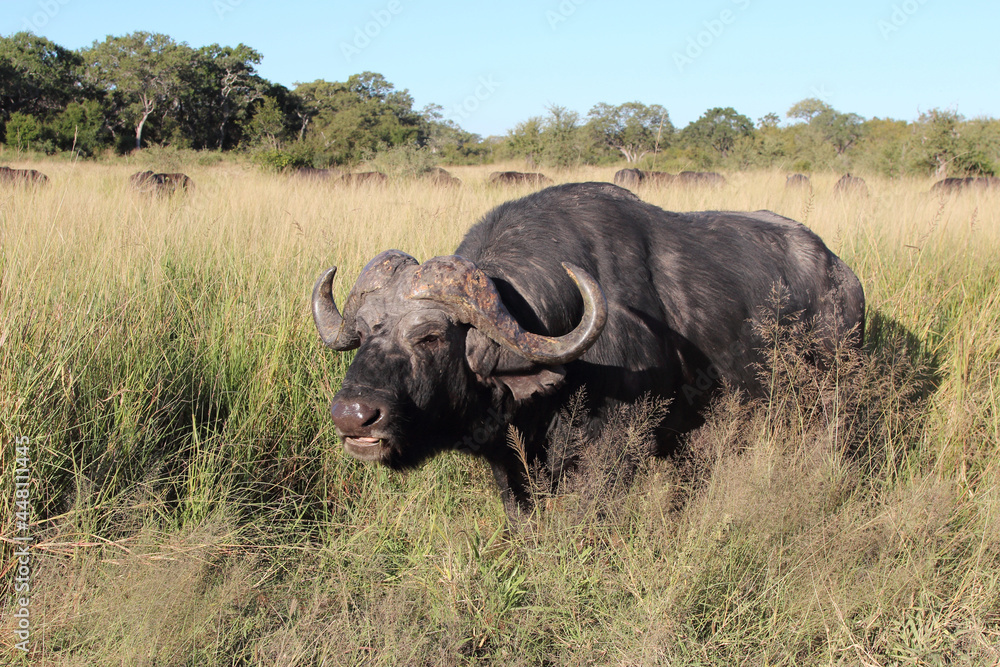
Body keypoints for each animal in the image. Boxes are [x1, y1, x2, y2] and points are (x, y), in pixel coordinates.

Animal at [312, 182, 865, 513]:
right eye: (363, 332)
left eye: (429, 335)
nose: (353, 416)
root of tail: (842, 278)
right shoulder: (511, 463)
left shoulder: (613, 452)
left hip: (832, 401)